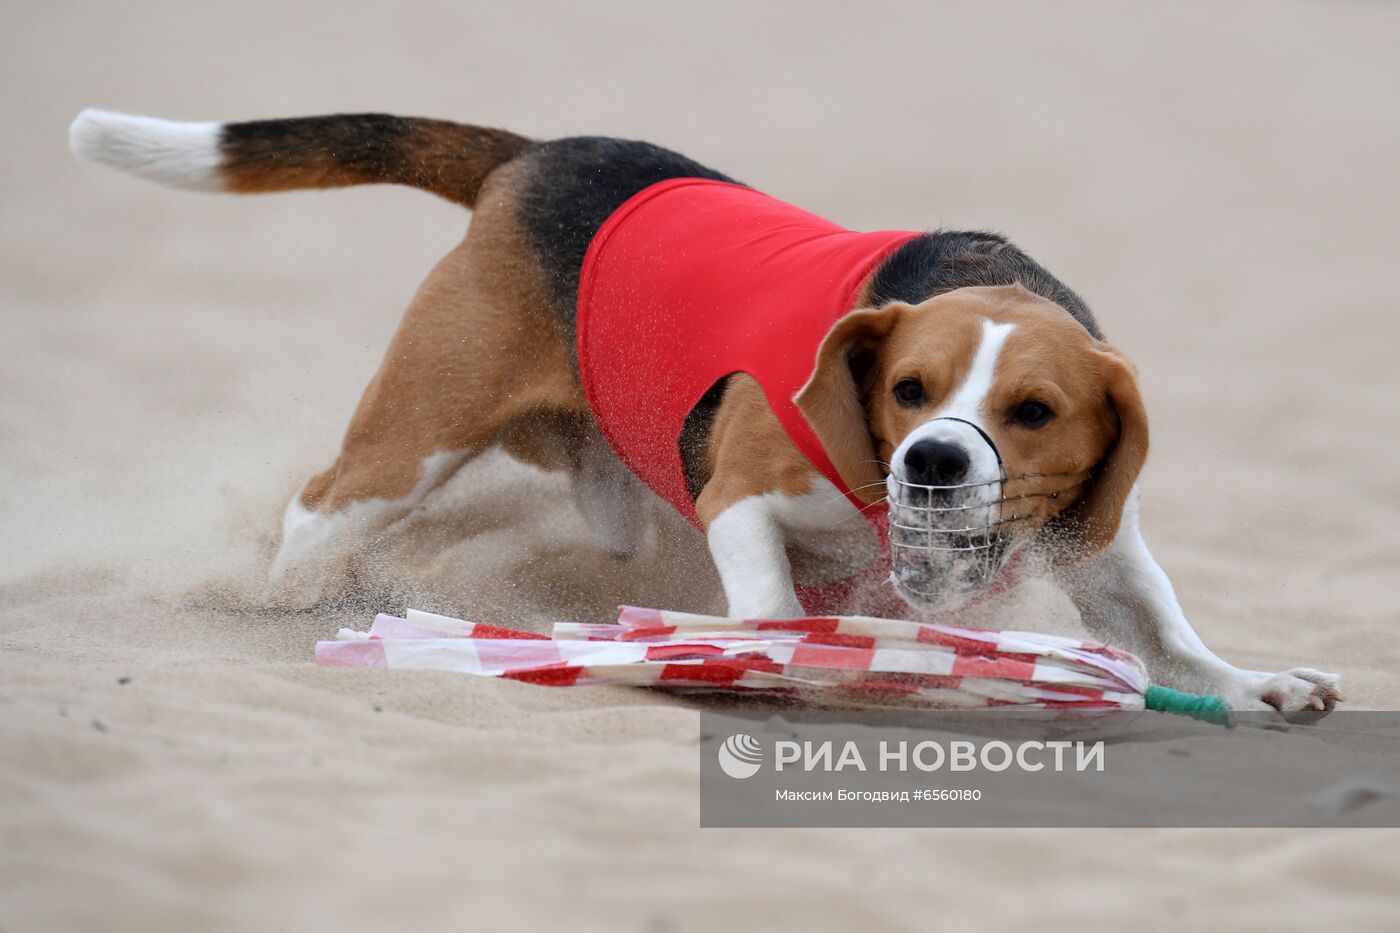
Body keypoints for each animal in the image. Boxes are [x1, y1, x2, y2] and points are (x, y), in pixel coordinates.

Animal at [71, 107, 1338, 711]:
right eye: (907, 391)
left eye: (1033, 409)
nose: (930, 464)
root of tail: (537, 156)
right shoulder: (740, 496)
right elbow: (771, 597)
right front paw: (767, 660)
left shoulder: (1098, 546)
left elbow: (1168, 634)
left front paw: (1253, 687)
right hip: (416, 437)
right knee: (316, 511)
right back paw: (276, 602)